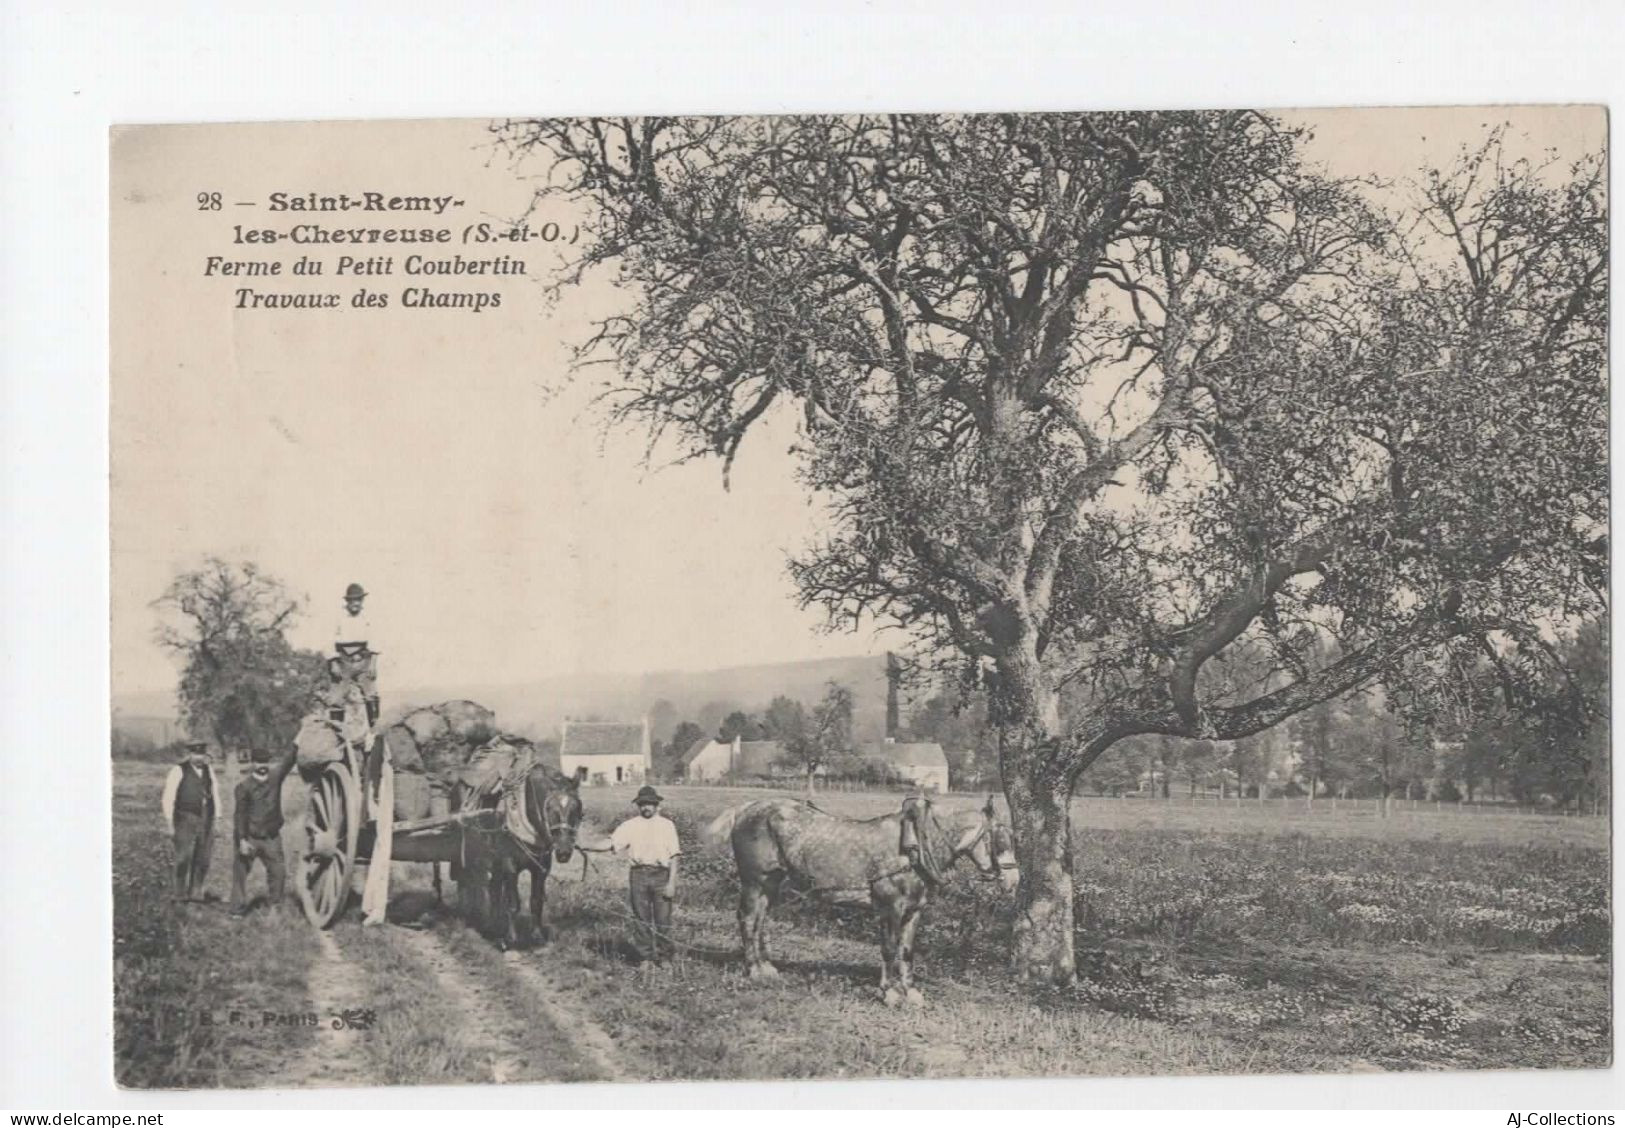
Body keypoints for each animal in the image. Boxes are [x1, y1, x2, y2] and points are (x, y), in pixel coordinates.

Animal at [708, 796, 1014, 1007]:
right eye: (1000, 837)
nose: (1013, 881)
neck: (913, 849)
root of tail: (744, 809)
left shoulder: (914, 911)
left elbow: (906, 951)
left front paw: (910, 992)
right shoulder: (891, 908)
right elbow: (889, 949)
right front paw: (890, 993)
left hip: (770, 883)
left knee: (759, 919)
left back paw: (765, 968)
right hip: (754, 881)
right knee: (748, 919)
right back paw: (752, 970)